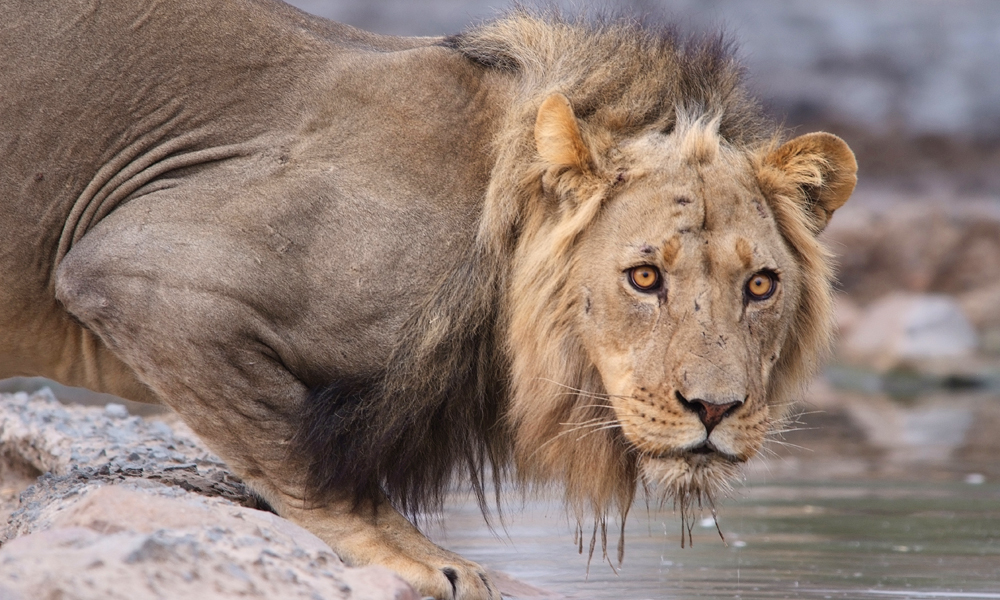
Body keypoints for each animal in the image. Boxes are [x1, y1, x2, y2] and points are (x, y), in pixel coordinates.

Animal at [1, 2, 852, 596]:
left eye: (760, 285)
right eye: (644, 277)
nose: (716, 408)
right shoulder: (139, 271)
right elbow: (296, 449)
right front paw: (416, 557)